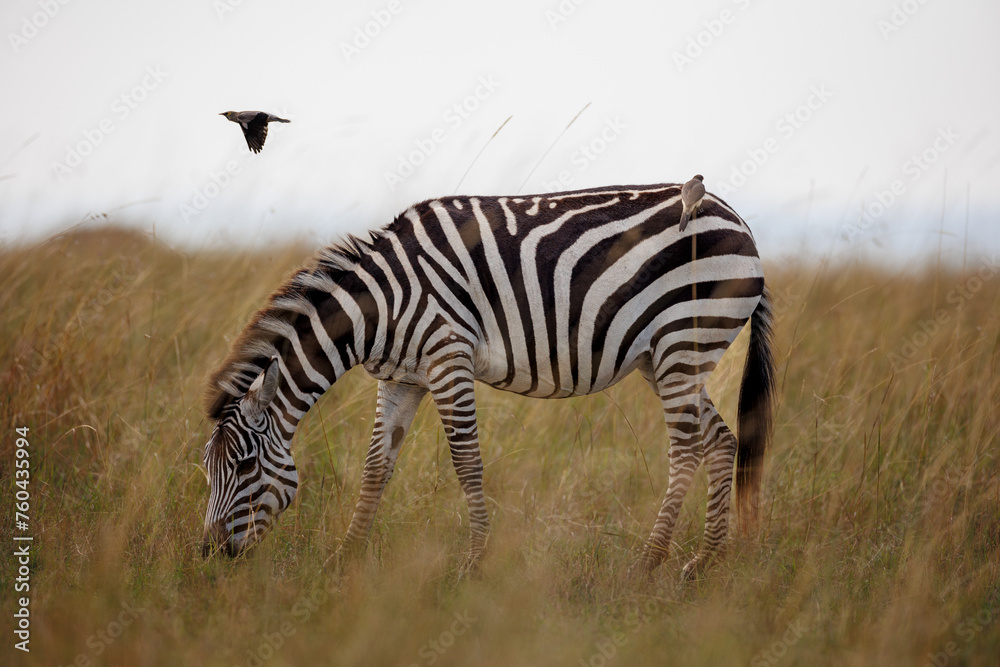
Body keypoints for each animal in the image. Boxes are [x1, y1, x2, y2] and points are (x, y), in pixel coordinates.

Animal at [200, 182, 775, 579]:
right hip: (665, 356)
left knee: (687, 448)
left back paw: (649, 562)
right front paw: (346, 557)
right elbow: (375, 468)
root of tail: (741, 221)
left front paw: (473, 564)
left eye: (246, 466)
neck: (378, 309)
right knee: (721, 440)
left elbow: (467, 463)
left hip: (685, 338)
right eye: (205, 469)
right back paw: (703, 562)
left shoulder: (447, 356)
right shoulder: (402, 379)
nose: (206, 556)